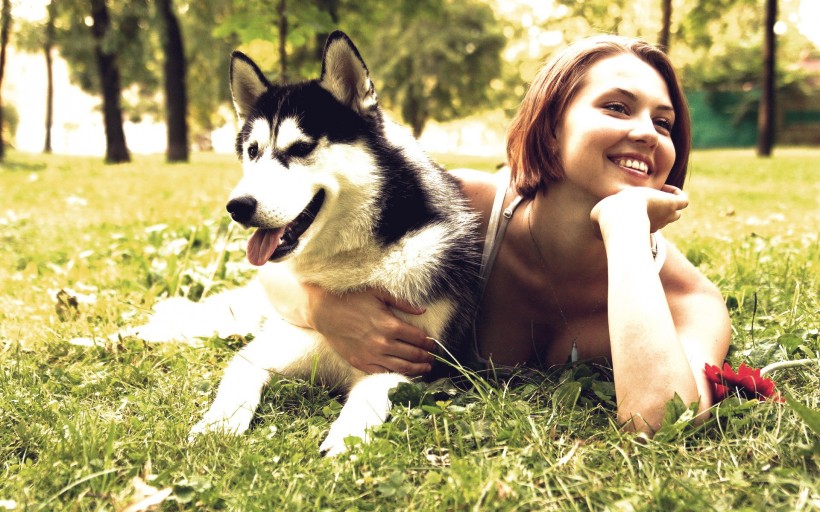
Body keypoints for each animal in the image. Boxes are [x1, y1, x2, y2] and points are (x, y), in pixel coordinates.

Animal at [167, 32, 480, 456]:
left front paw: (347, 435)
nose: (237, 206)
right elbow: (237, 377)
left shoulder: (417, 364)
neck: (354, 263)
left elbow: (373, 392)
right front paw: (218, 425)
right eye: (253, 151)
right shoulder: (267, 350)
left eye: (301, 148)